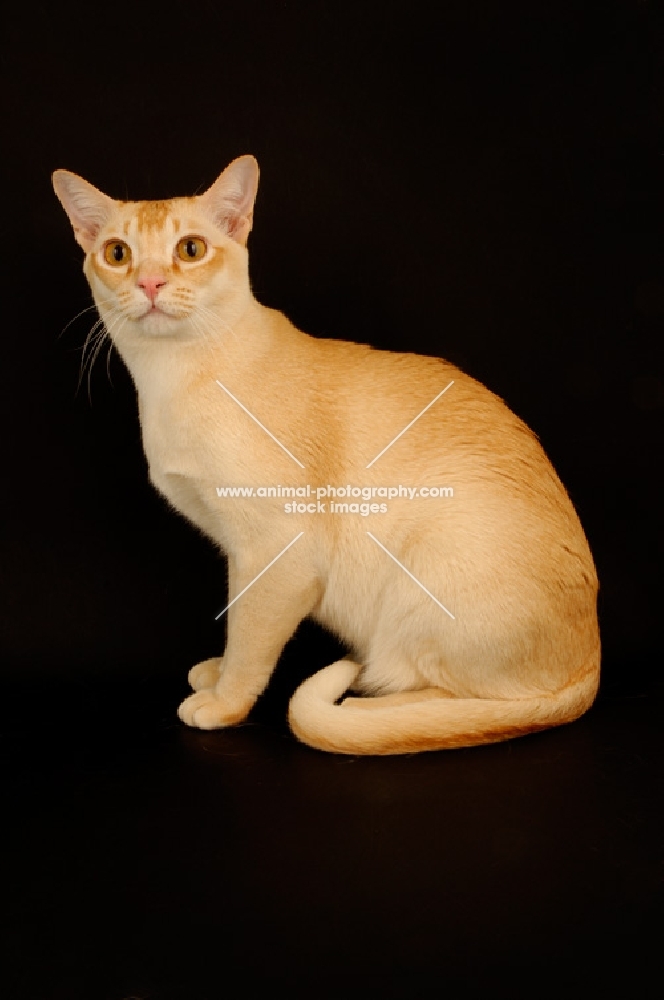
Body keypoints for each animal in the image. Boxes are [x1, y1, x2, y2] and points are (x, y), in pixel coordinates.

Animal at [53, 154, 600, 752]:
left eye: (190, 249)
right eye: (118, 254)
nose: (150, 282)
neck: (167, 380)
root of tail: (592, 662)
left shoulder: (276, 552)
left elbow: (250, 640)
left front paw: (223, 702)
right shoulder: (236, 549)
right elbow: (237, 618)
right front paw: (216, 674)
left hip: (429, 563)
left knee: (460, 705)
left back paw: (365, 697)